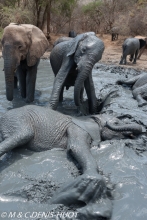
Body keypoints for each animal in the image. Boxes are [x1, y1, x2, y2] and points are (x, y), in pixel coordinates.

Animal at [0, 104, 141, 219]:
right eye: (116, 122)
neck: (91, 118)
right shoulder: (78, 129)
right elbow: (77, 147)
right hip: (15, 120)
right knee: (23, 134)